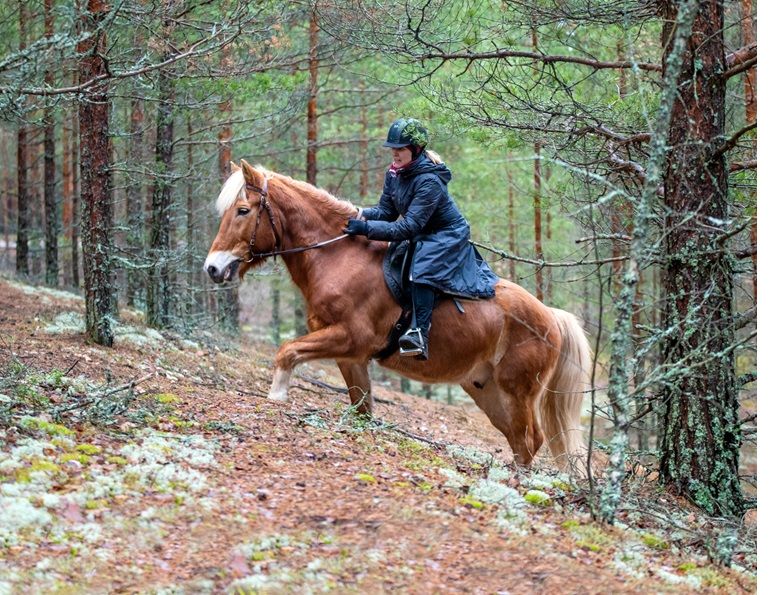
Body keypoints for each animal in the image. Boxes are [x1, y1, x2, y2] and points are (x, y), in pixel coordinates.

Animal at [204, 159, 591, 470]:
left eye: (243, 210)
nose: (213, 268)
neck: (339, 258)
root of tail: (552, 317)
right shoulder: (351, 356)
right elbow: (362, 408)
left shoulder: (350, 338)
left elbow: (287, 351)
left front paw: (277, 396)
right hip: (486, 390)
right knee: (517, 438)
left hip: (518, 391)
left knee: (530, 439)